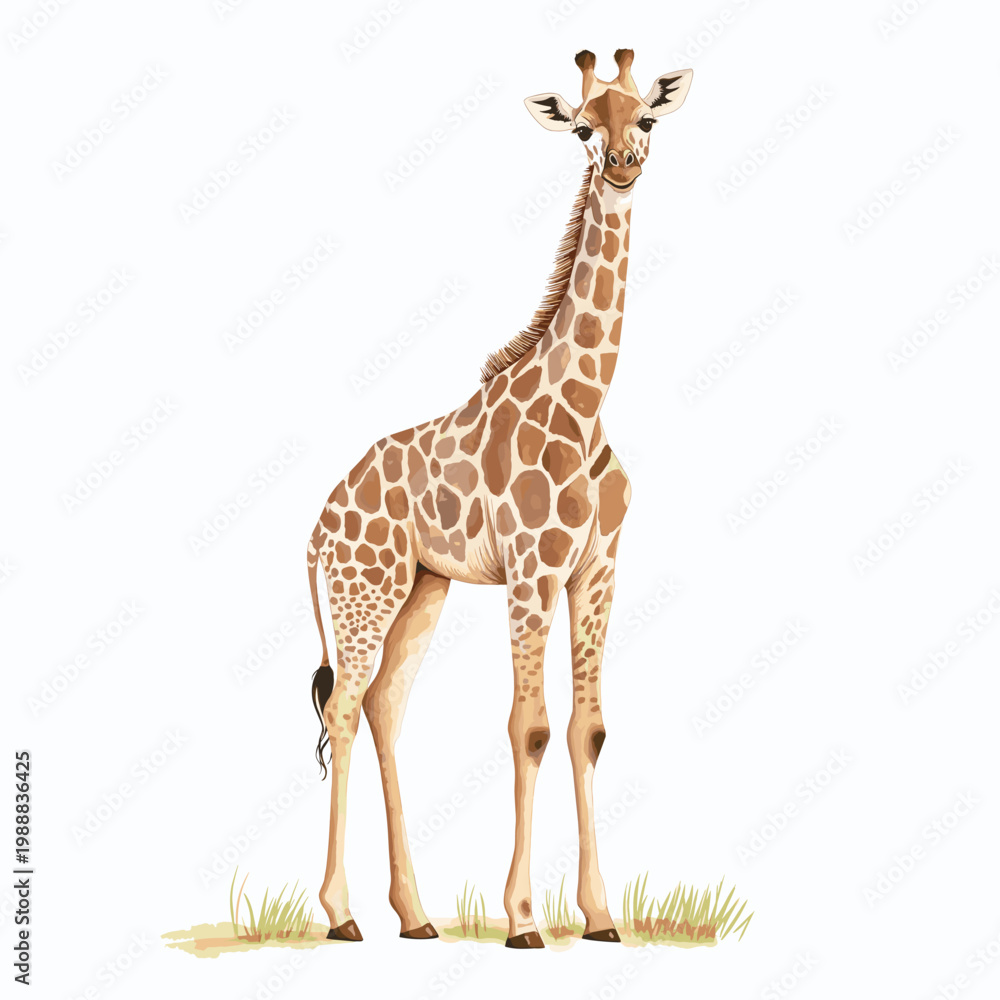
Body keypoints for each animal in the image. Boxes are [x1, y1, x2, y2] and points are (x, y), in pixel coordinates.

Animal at [306, 49, 693, 947]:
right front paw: (522, 920)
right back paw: (341, 915)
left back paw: (414, 916)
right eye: (582, 128)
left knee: (385, 709)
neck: (582, 407)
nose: (623, 164)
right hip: (363, 591)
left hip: (423, 588)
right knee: (343, 709)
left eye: (645, 118)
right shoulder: (530, 570)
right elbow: (531, 727)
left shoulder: (597, 569)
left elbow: (588, 729)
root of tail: (316, 527)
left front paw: (600, 915)